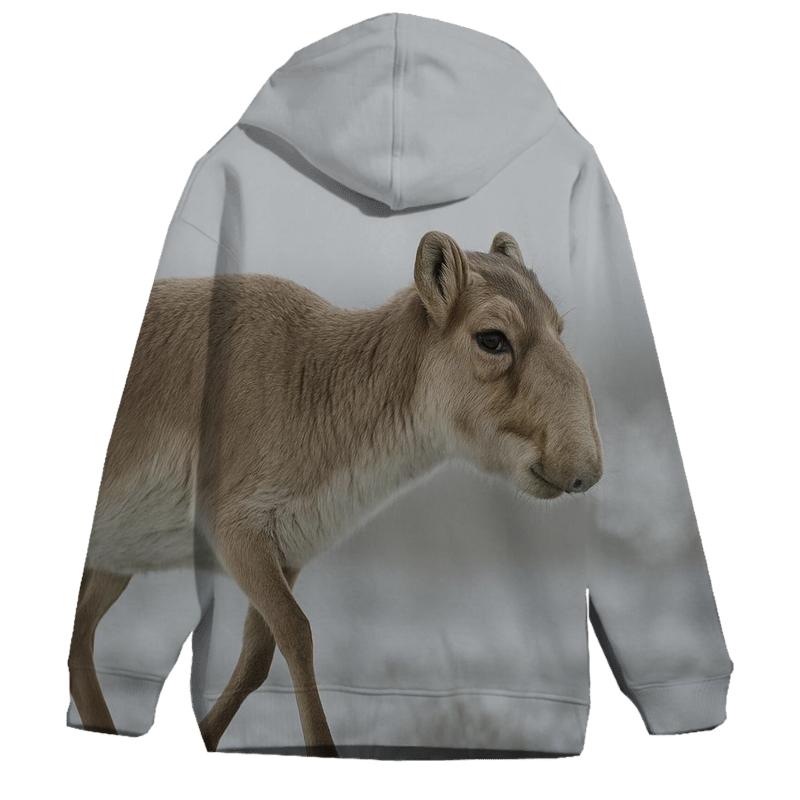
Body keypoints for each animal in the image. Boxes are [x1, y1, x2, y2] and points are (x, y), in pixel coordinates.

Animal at [69, 231, 602, 755]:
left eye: (559, 327)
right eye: (492, 338)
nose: (586, 469)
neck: (313, 381)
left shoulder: (287, 551)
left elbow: (259, 654)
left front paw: (207, 736)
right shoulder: (235, 535)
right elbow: (297, 635)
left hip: (116, 559)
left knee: (80, 639)